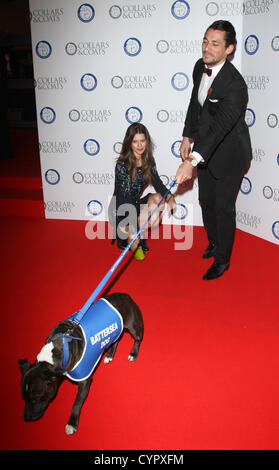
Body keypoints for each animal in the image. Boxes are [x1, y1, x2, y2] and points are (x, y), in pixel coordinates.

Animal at [18, 292, 144, 436]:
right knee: (116, 339)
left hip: (134, 326)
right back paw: (109, 354)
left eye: (36, 398)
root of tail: (125, 295)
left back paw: (133, 353)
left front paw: (72, 423)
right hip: (116, 329)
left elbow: (77, 403)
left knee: (137, 338)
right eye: (24, 398)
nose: (26, 418)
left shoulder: (84, 380)